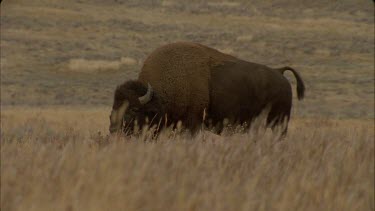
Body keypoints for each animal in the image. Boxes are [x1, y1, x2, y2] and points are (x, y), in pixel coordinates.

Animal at [109, 41, 306, 135]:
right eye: (113, 107)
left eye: (133, 109)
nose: (113, 129)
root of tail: (279, 73)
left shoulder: (193, 123)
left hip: (279, 122)